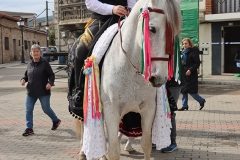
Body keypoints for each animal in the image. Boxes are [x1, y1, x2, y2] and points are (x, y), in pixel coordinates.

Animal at [76, 0, 181, 159]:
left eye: (174, 33)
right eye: (152, 29)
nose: (159, 79)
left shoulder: (148, 109)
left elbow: (146, 144)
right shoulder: (111, 111)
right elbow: (113, 151)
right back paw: (84, 151)